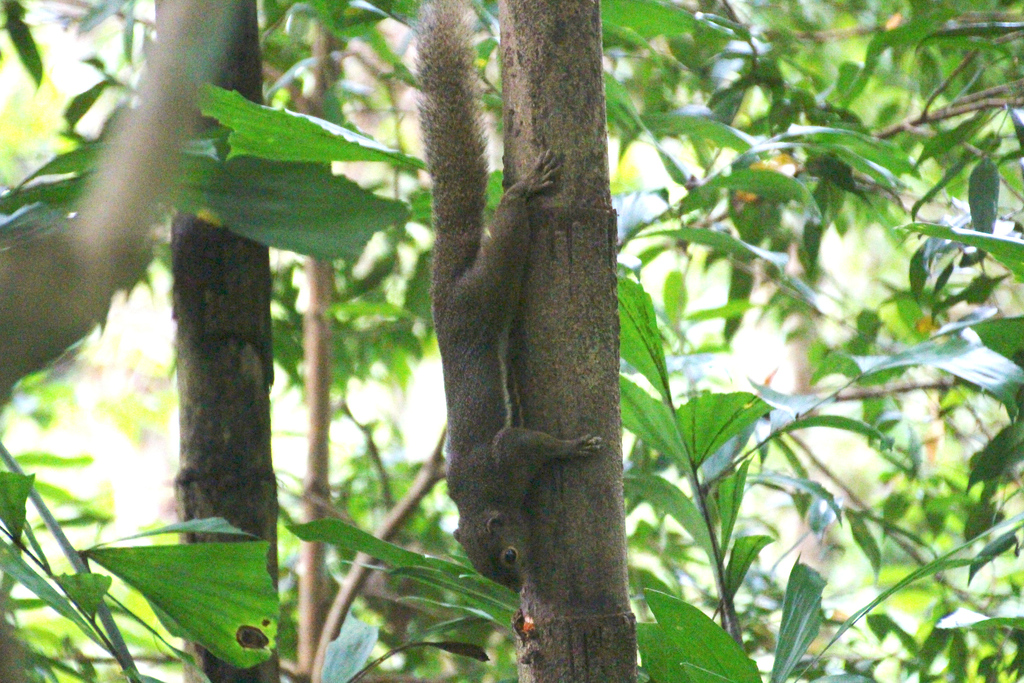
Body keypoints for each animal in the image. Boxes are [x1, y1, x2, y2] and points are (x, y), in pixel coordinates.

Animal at [417, 0, 602, 592]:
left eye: (509, 557)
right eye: (494, 571)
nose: (517, 593)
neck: (482, 497)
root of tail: (444, 292)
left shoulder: (505, 458)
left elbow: (533, 444)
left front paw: (574, 447)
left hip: (486, 288)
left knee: (510, 232)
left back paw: (522, 190)